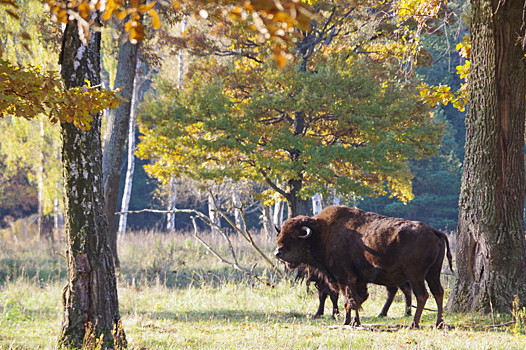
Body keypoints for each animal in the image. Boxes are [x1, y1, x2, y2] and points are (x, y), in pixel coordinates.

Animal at [276, 205, 454, 328]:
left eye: (294, 235)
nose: (278, 252)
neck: (319, 233)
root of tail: (434, 231)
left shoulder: (344, 278)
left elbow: (349, 300)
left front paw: (347, 322)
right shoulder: (357, 280)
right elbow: (356, 299)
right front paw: (355, 322)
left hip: (416, 276)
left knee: (422, 295)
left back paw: (413, 324)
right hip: (433, 273)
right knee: (438, 293)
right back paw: (439, 323)